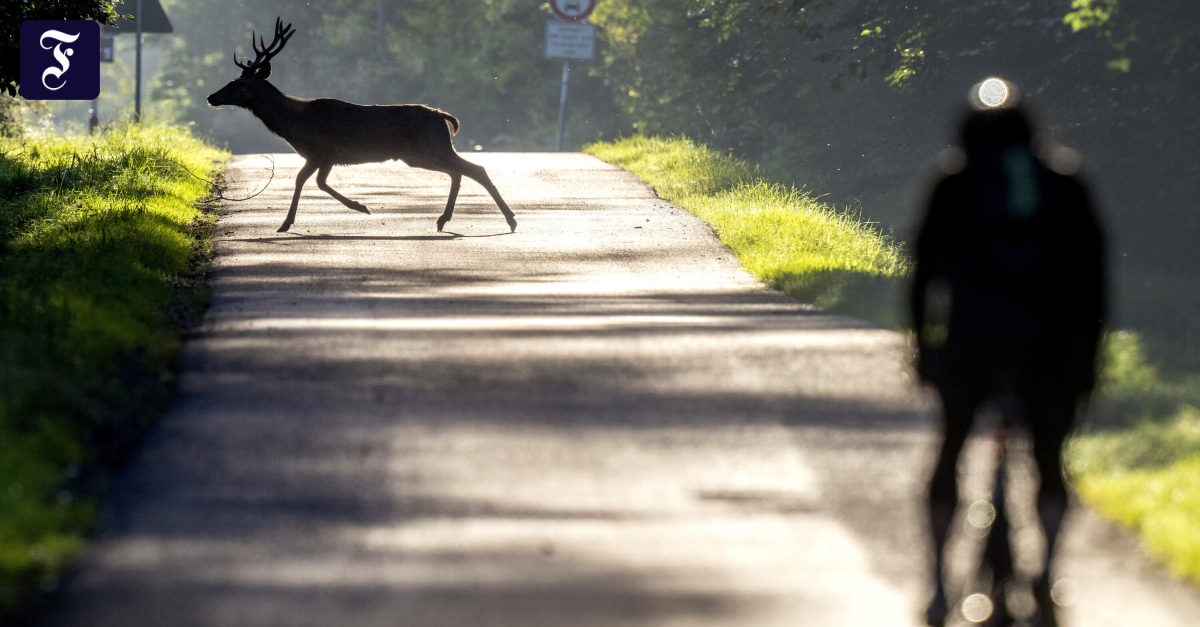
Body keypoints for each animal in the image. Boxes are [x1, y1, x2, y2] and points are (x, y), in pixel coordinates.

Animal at [206, 17, 516, 231]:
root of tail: (444, 116)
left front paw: (290, 222)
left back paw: (509, 220)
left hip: (432, 147)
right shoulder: (324, 156)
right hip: (416, 155)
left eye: (239, 83)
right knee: (458, 172)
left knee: (475, 169)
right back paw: (444, 220)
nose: (211, 96)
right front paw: (357, 206)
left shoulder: (322, 150)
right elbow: (316, 182)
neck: (295, 125)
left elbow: (306, 180)